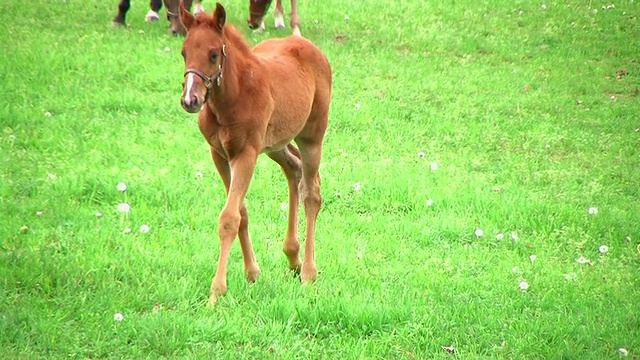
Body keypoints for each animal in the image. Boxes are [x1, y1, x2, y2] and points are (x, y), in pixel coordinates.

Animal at [178, 2, 332, 304]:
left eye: (213, 54)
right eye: (184, 52)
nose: (190, 100)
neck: (232, 97)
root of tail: (310, 47)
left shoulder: (246, 154)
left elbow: (229, 217)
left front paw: (216, 293)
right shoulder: (219, 154)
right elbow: (241, 212)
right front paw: (252, 273)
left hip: (311, 136)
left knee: (311, 194)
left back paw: (308, 272)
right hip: (276, 143)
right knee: (293, 170)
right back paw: (292, 257)